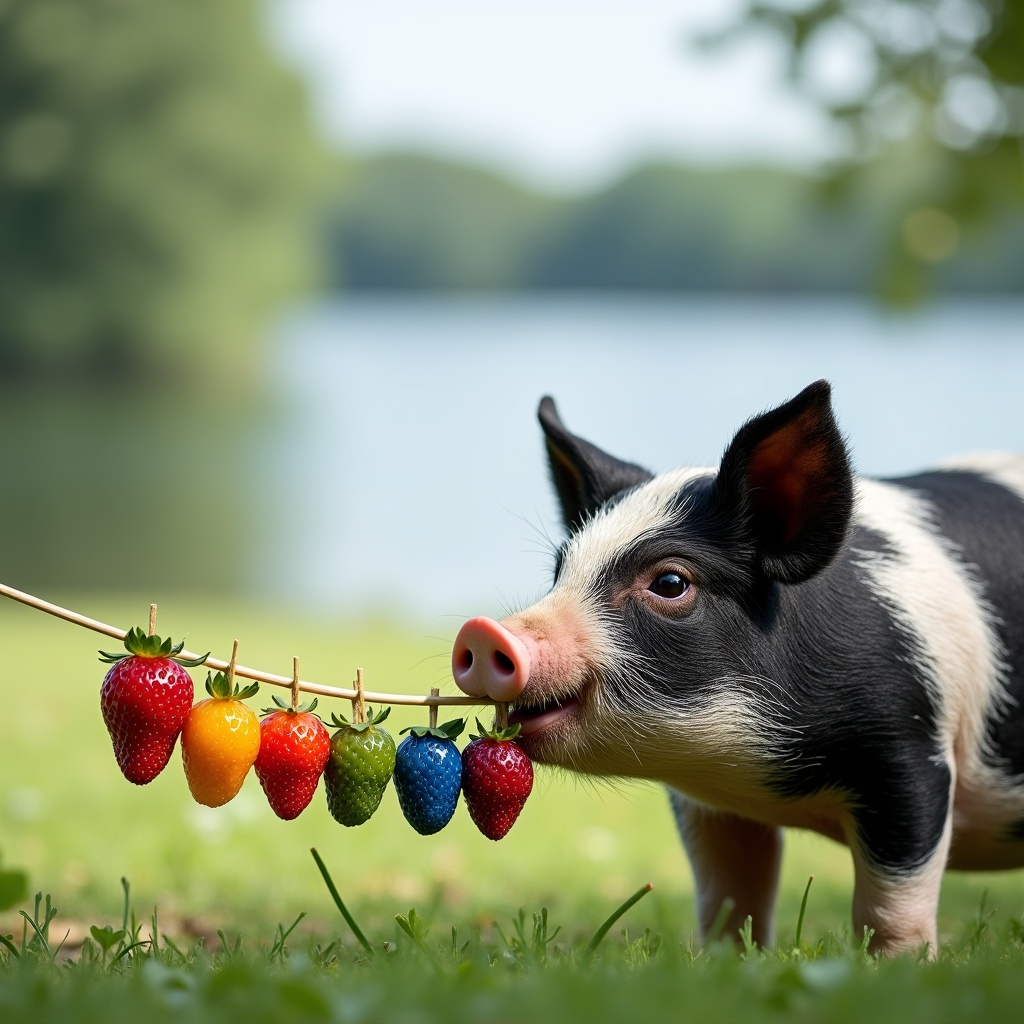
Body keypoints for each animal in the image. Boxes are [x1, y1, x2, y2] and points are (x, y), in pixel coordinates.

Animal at [450, 380, 1024, 954]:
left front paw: (895, 965)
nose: (481, 630)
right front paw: (729, 958)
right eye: (559, 571)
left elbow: (891, 901)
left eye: (671, 583)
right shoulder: (710, 805)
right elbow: (728, 892)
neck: (776, 779)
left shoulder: (911, 756)